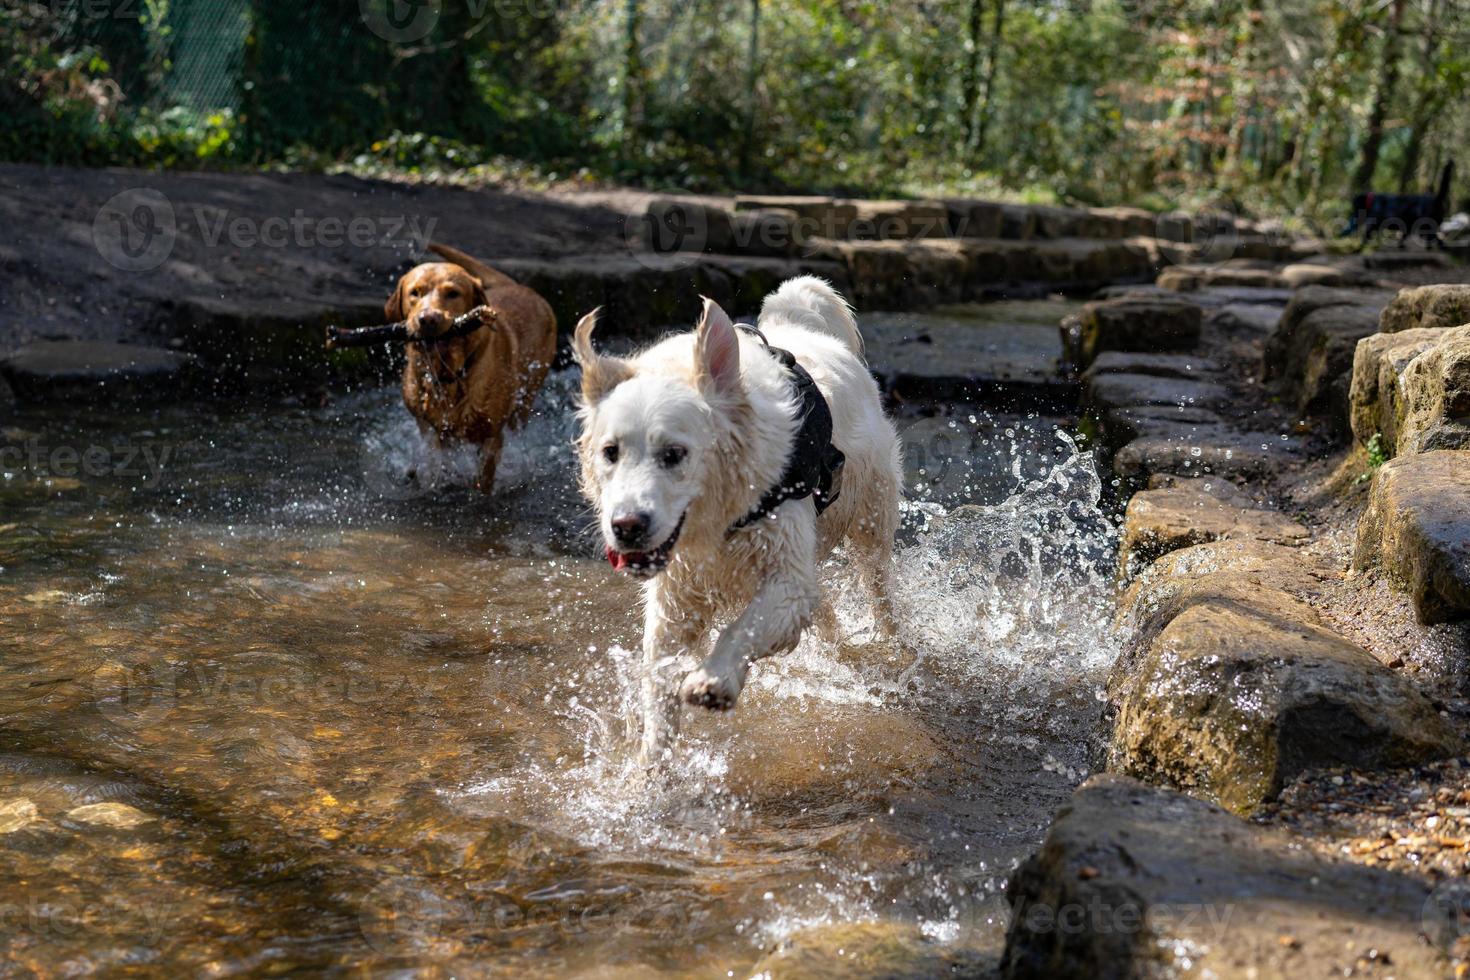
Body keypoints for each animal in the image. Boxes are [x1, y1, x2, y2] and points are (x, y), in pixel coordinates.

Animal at [385, 242, 555, 493]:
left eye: (453, 293)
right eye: (414, 293)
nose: (428, 319)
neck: (449, 374)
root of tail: (516, 285)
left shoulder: (492, 435)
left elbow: (483, 481)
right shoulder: (431, 432)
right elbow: (435, 467)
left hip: (525, 400)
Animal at [576, 276, 905, 758]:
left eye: (674, 454)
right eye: (610, 452)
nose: (627, 528)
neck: (720, 517)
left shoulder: (784, 575)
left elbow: (743, 629)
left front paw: (715, 680)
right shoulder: (675, 600)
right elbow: (659, 694)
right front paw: (650, 770)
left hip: (871, 520)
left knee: (880, 589)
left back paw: (896, 645)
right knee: (823, 603)